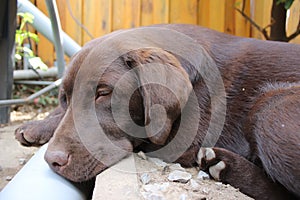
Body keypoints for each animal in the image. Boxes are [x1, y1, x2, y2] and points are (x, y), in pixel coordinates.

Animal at [15, 24, 300, 199]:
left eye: (103, 93)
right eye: (64, 98)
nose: (53, 161)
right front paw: (36, 125)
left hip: (271, 107)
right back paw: (221, 164)